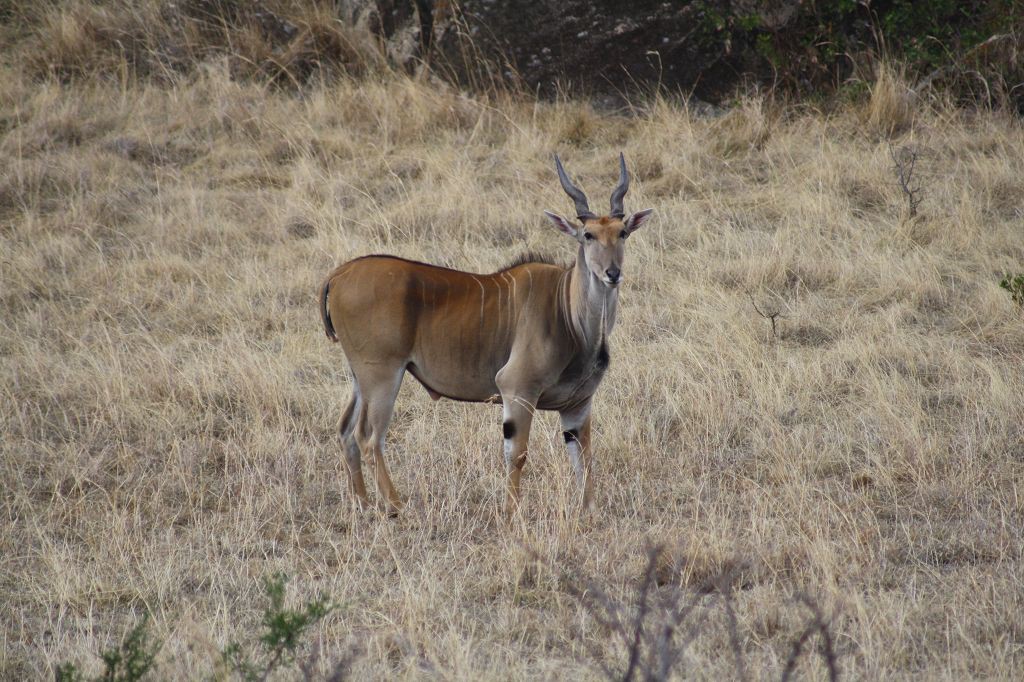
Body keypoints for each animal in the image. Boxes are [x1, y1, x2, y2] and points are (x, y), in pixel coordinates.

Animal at [319, 153, 655, 512]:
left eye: (622, 233)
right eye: (588, 235)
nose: (612, 273)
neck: (567, 309)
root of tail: (339, 274)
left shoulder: (578, 405)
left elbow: (584, 458)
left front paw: (588, 511)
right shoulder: (517, 389)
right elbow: (517, 454)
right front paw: (511, 513)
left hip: (360, 377)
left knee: (345, 431)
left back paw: (363, 505)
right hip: (382, 375)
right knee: (368, 437)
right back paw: (395, 508)